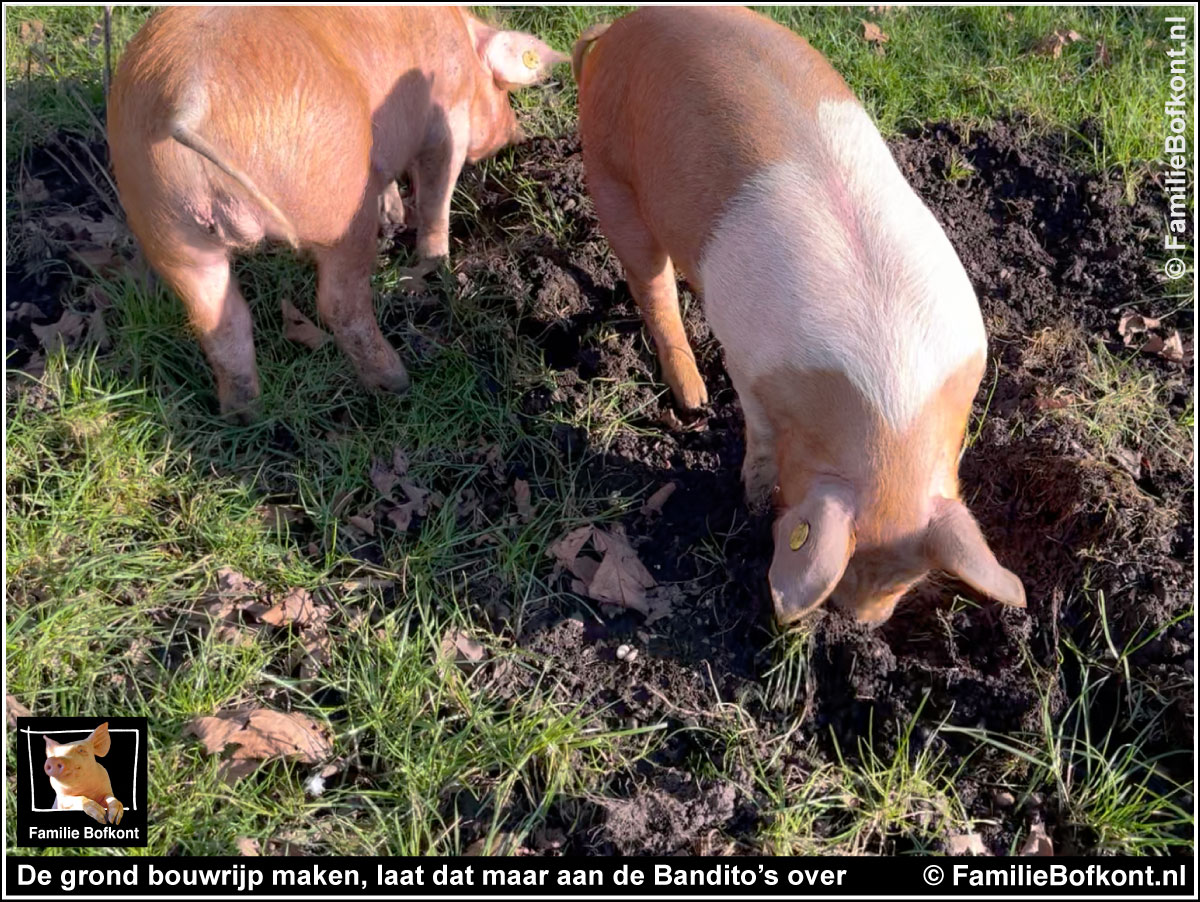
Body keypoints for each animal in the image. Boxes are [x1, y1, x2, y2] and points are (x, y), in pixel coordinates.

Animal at [108, 7, 566, 422]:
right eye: (502, 90)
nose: (519, 135)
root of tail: (192, 101)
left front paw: (396, 217)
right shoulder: (446, 121)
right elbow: (437, 194)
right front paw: (436, 262)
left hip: (165, 226)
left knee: (218, 322)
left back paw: (245, 416)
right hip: (337, 209)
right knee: (340, 304)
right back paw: (397, 382)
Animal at [576, 7, 1027, 628]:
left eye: (911, 578)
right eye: (850, 565)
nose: (861, 625)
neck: (889, 410)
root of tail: (620, 27)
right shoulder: (748, 363)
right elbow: (762, 441)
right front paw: (749, 500)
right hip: (609, 170)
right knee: (652, 285)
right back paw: (693, 399)